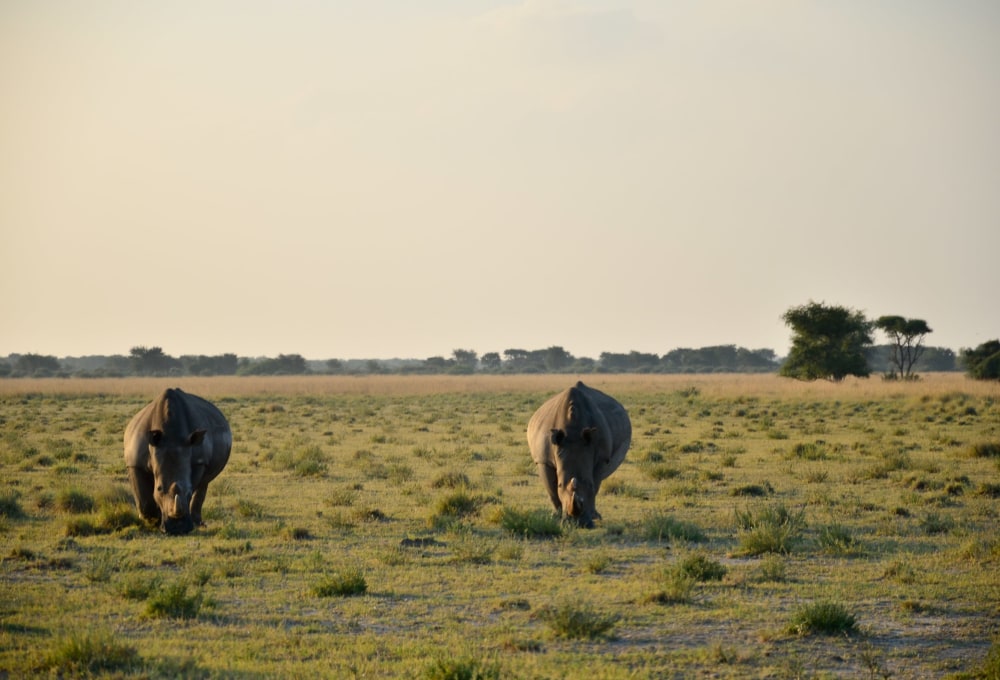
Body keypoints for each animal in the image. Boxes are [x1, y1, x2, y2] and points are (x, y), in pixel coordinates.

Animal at [124, 388, 232, 534]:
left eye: (188, 490)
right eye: (159, 488)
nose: (178, 529)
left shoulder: (199, 461)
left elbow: (193, 486)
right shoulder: (135, 463)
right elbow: (143, 497)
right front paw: (151, 522)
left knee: (204, 483)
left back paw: (199, 524)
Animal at [527, 381, 631, 528]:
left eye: (589, 484)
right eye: (560, 485)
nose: (578, 523)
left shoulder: (602, 458)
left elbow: (595, 486)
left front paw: (592, 517)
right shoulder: (543, 460)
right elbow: (552, 490)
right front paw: (557, 517)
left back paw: (596, 516)